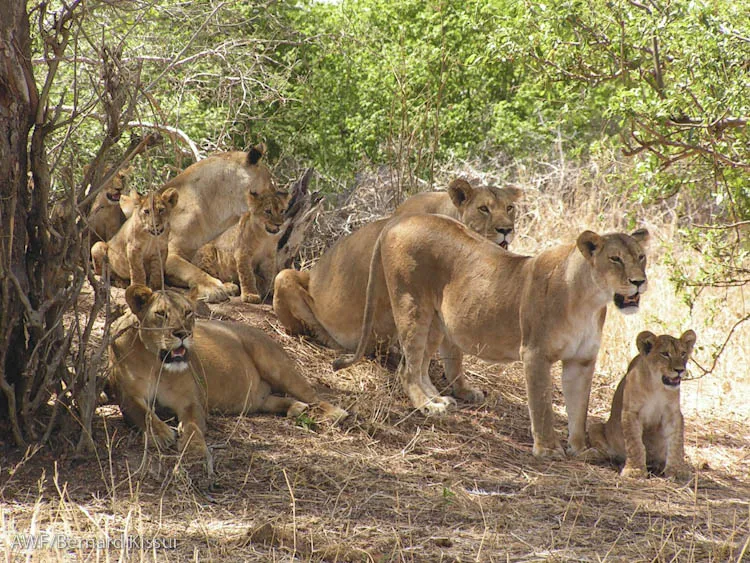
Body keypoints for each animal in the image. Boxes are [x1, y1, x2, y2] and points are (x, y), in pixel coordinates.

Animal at [108, 284, 348, 464]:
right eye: (160, 314)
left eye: (188, 312)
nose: (183, 334)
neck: (156, 364)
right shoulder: (127, 397)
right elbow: (143, 413)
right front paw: (162, 433)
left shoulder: (191, 401)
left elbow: (193, 426)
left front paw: (195, 448)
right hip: (256, 399)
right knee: (273, 400)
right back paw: (296, 408)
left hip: (278, 366)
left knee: (313, 395)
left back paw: (336, 412)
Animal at [333, 213, 649, 458]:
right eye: (615, 259)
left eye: (642, 257)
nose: (639, 282)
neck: (590, 300)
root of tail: (402, 218)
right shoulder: (535, 353)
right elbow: (543, 406)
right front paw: (547, 449)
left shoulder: (581, 361)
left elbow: (579, 408)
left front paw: (580, 449)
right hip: (411, 305)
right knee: (406, 370)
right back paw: (428, 407)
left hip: (436, 320)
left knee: (418, 365)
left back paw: (439, 399)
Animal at [588, 330, 696, 479]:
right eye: (665, 354)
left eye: (683, 353)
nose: (680, 370)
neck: (657, 386)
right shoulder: (631, 412)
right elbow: (635, 444)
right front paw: (635, 470)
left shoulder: (673, 414)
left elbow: (676, 443)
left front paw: (677, 470)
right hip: (595, 427)